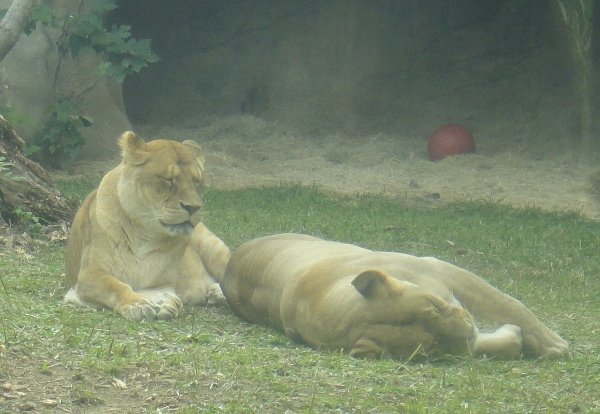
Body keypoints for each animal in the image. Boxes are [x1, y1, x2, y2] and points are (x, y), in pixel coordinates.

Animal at [65, 132, 230, 320]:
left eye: (197, 181)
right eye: (167, 179)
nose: (193, 207)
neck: (145, 233)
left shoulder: (164, 283)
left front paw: (159, 302)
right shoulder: (88, 276)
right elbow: (116, 286)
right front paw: (142, 304)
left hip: (213, 248)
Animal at [223, 234, 568, 360]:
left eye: (434, 307)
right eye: (430, 350)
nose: (468, 333)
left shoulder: (441, 269)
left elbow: (511, 304)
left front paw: (550, 343)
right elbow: (501, 332)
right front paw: (542, 343)